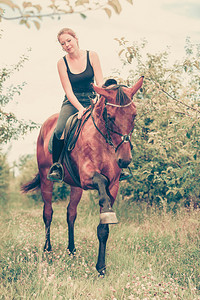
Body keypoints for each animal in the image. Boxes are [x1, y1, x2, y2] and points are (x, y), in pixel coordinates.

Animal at [21, 76, 143, 276]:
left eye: (134, 115)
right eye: (110, 117)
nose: (124, 160)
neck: (103, 140)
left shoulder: (113, 185)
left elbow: (103, 228)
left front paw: (101, 268)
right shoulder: (88, 177)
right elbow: (100, 179)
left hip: (75, 186)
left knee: (71, 214)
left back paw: (71, 250)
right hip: (47, 179)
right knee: (48, 213)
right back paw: (47, 250)